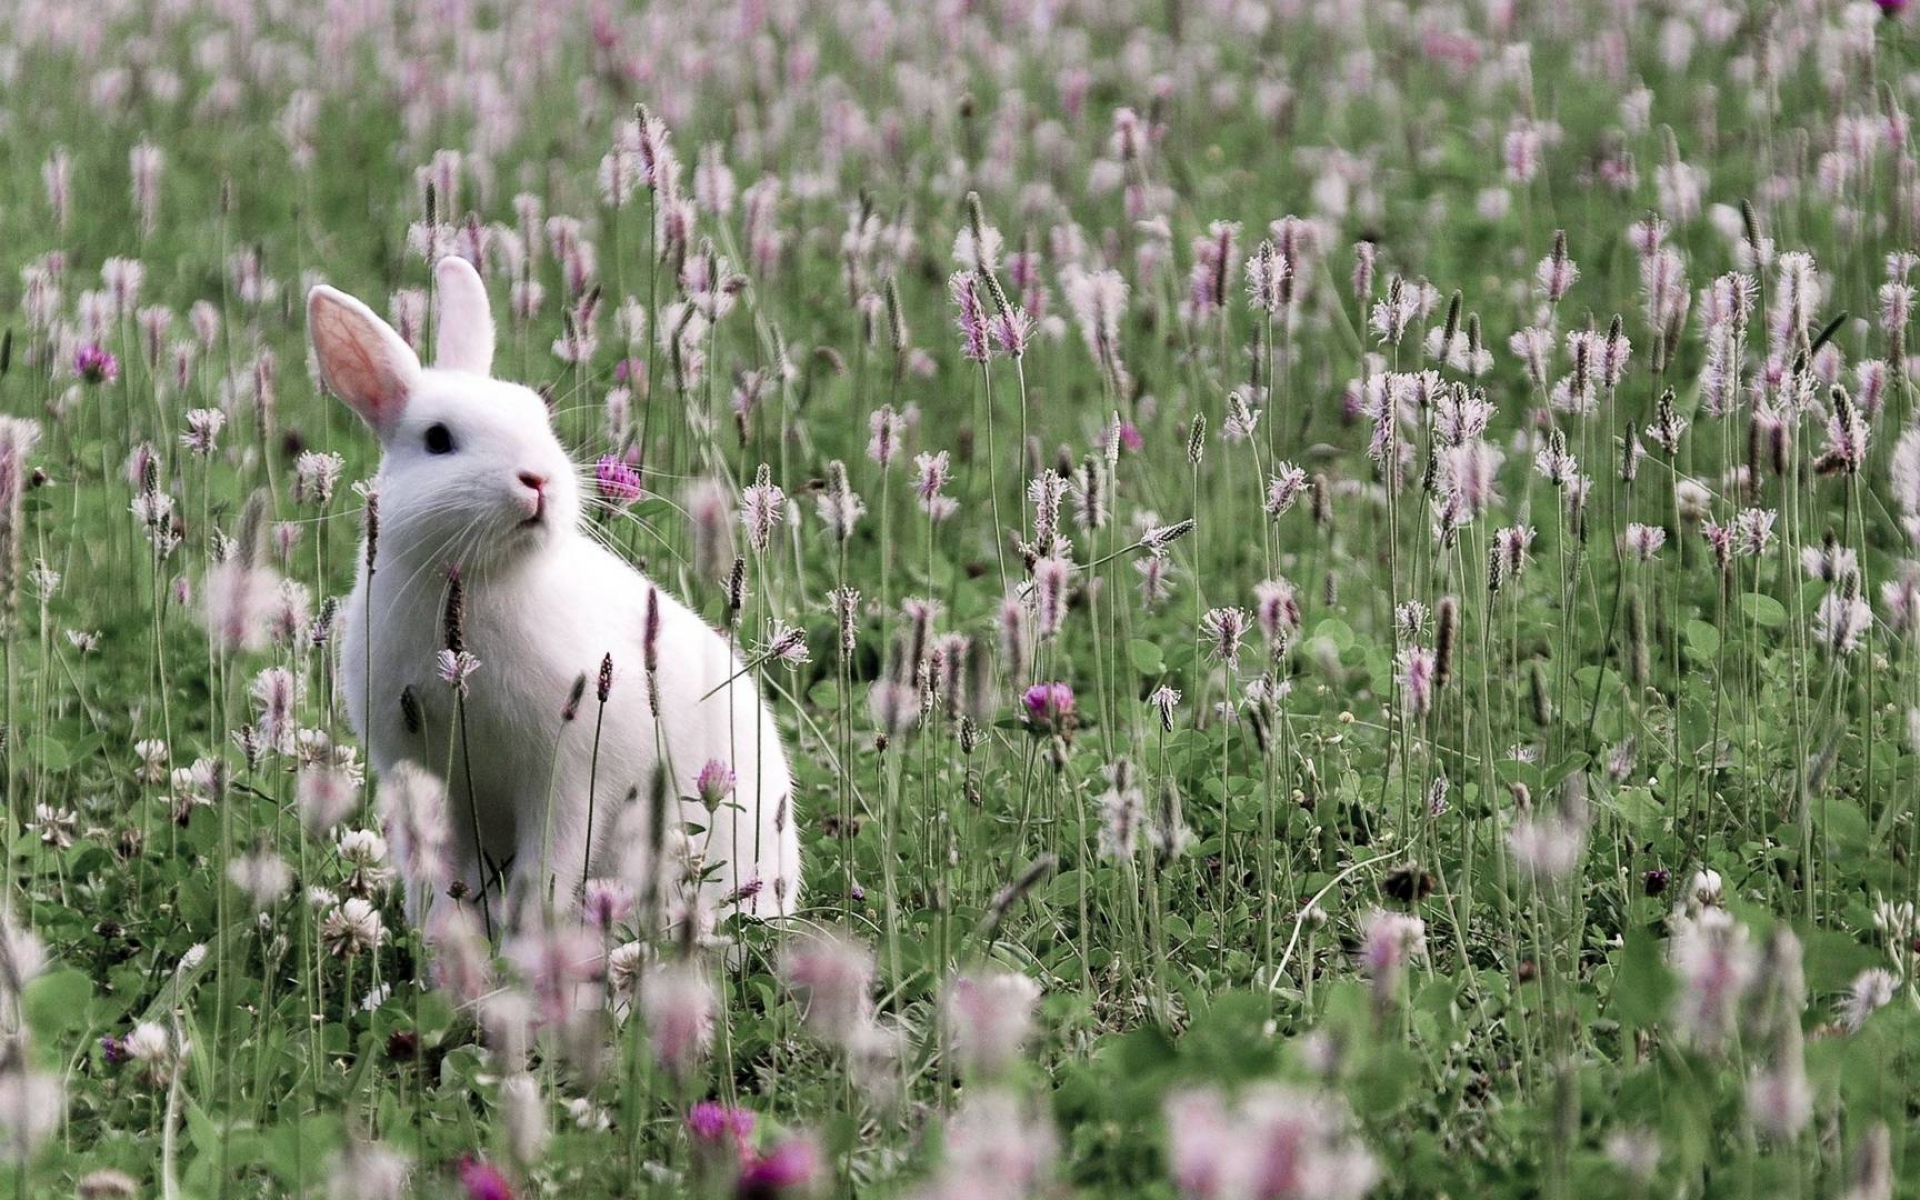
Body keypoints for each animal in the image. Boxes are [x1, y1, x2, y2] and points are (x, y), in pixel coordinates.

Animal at [309, 255, 800, 932]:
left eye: (538, 418)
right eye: (437, 439)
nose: (537, 479)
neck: (485, 581)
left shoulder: (568, 781)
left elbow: (546, 873)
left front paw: (523, 945)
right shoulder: (420, 775)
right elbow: (436, 876)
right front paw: (444, 942)